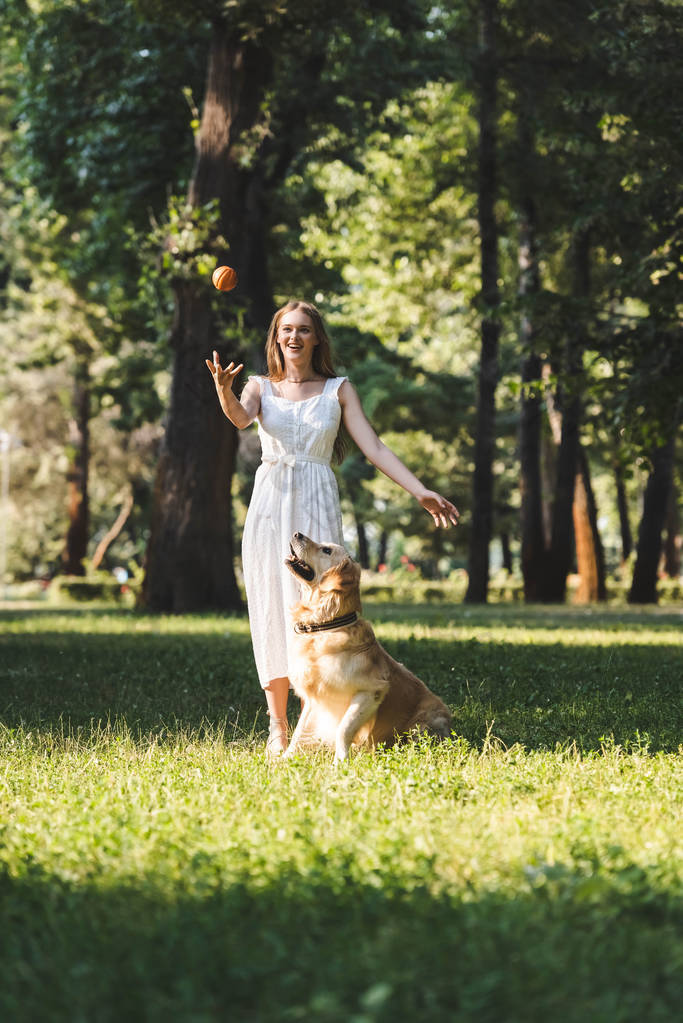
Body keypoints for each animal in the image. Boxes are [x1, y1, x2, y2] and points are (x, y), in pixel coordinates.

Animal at [282, 536, 453, 761]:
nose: (296, 534)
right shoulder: (313, 699)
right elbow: (300, 731)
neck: (327, 625)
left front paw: (340, 760)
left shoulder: (371, 691)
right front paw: (283, 759)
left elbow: (343, 729)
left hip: (423, 723)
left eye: (326, 550)